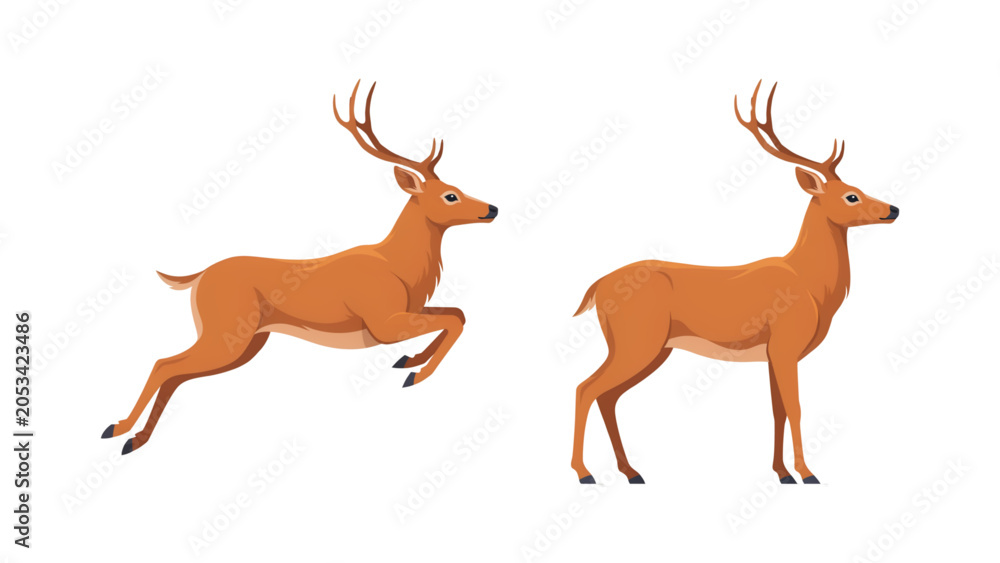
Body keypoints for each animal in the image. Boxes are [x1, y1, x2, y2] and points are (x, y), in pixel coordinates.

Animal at [102, 81, 498, 455]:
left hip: (246, 341)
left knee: (175, 373)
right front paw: (416, 374)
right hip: (226, 333)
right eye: (450, 195)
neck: (401, 267)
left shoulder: (404, 312)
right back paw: (118, 429)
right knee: (164, 364)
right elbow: (453, 321)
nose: (492, 208)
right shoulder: (382, 320)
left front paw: (408, 361)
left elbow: (458, 314)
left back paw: (134, 438)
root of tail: (196, 278)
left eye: (457, 187)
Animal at [570, 81, 899, 485]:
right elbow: (796, 407)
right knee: (586, 388)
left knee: (607, 396)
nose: (894, 209)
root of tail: (597, 286)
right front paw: (807, 473)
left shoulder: (773, 353)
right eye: (851, 195)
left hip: (650, 347)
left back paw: (631, 472)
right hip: (637, 340)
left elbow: (777, 410)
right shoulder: (786, 343)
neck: (812, 286)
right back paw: (584, 472)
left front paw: (782, 473)